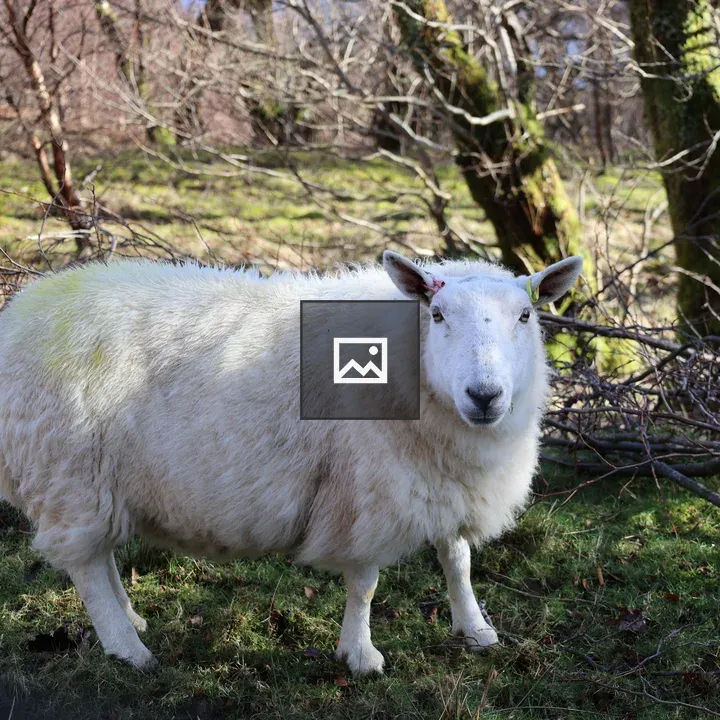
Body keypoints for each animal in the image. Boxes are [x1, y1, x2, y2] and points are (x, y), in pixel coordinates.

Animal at [0, 250, 583, 675]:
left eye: (526, 315)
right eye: (437, 315)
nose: (484, 395)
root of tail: (18, 314)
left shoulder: (442, 480)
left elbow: (456, 558)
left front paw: (476, 628)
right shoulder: (363, 492)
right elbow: (365, 583)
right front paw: (360, 655)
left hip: (96, 483)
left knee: (101, 558)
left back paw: (131, 618)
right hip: (69, 473)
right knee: (86, 567)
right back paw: (127, 649)